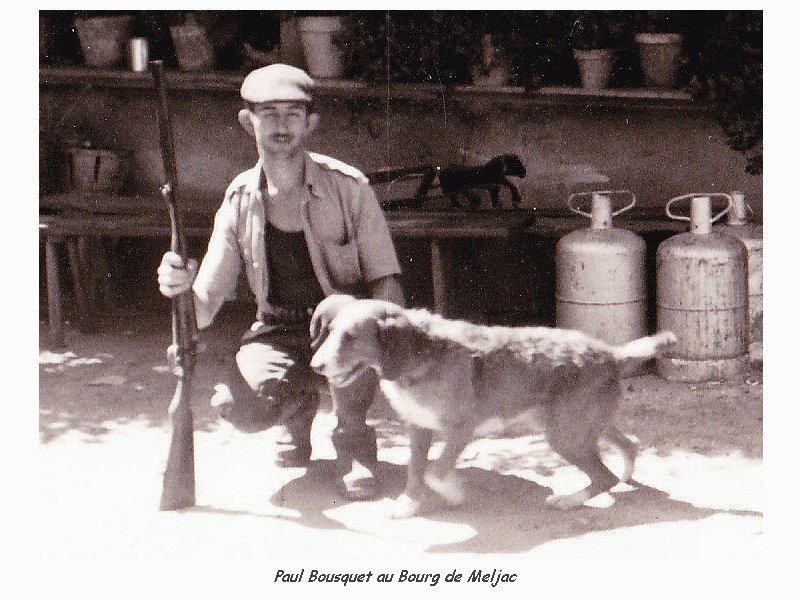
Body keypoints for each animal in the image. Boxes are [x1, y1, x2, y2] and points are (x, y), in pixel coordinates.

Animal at [309, 295, 676, 518]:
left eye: (351, 338)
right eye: (330, 331)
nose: (315, 366)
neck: (420, 354)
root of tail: (611, 353)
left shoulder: (461, 429)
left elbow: (434, 471)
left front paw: (453, 493)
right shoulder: (419, 428)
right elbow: (415, 471)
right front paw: (409, 505)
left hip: (565, 436)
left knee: (604, 477)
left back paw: (569, 500)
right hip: (583, 426)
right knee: (628, 447)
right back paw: (625, 475)